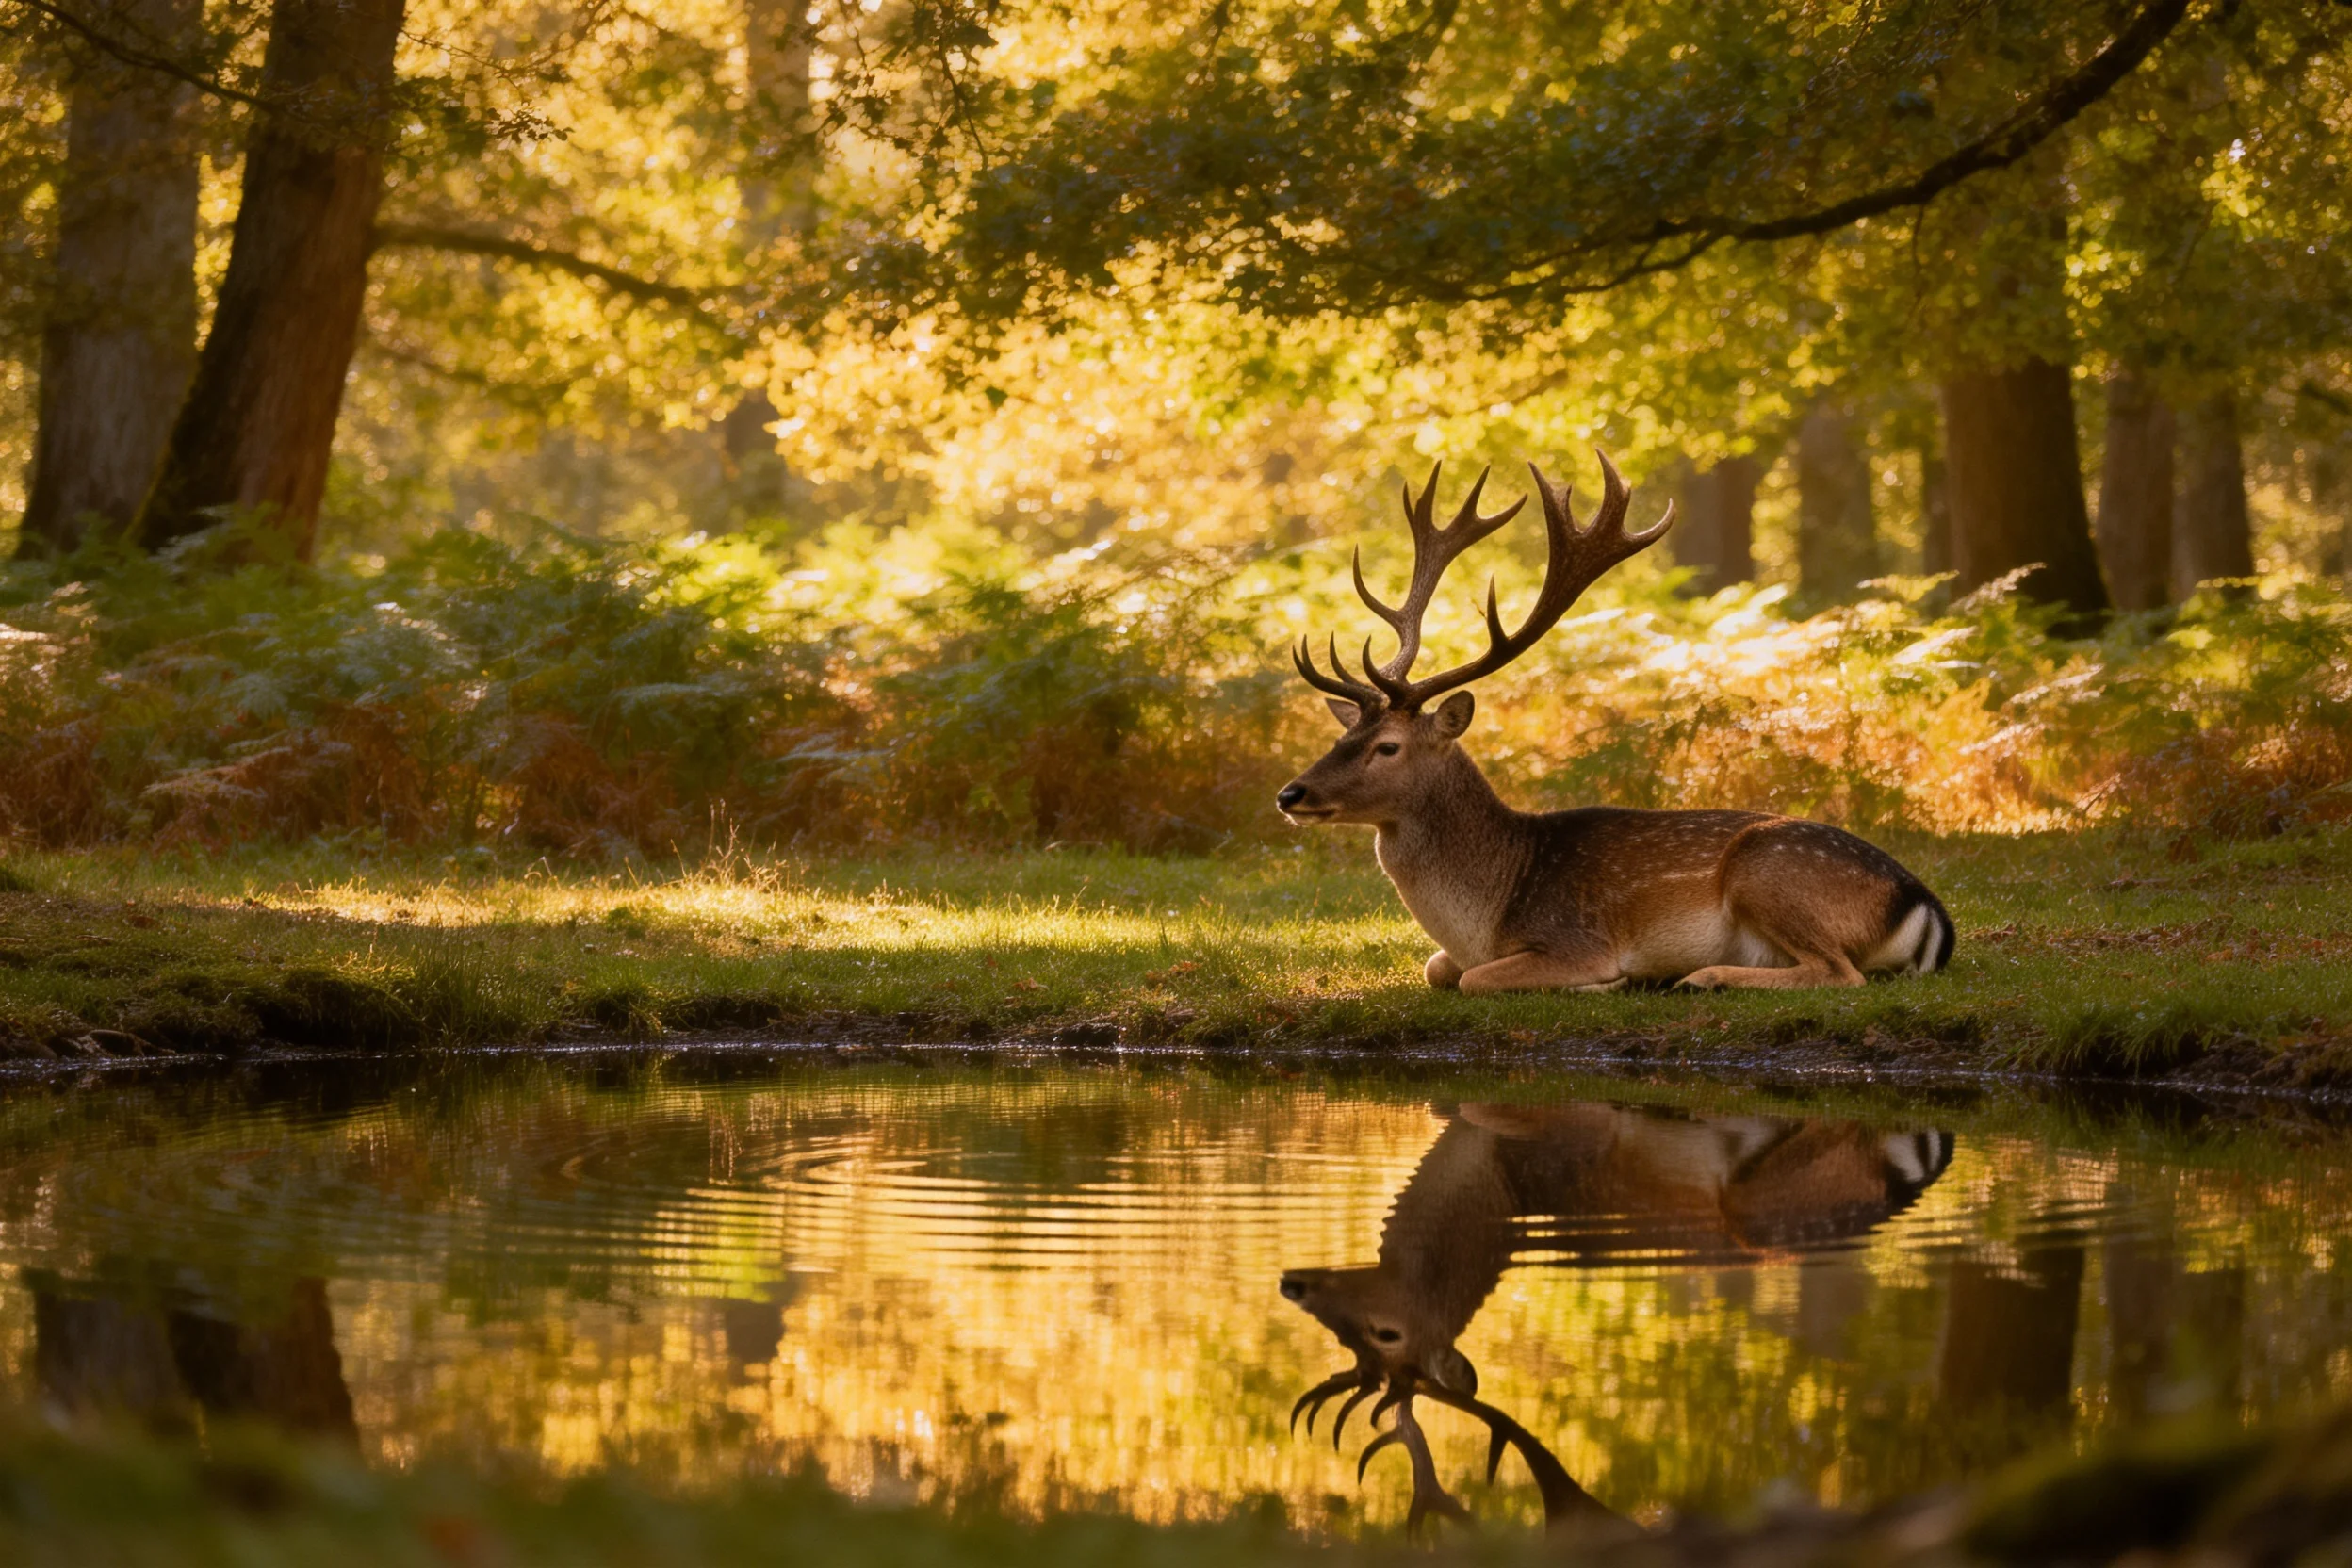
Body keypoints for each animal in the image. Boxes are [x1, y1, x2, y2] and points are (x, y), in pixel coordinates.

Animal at [1276, 455, 1955, 992]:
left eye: (1387, 746)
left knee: (1842, 972)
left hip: (1771, 871)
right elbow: (1437, 967)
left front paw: (1606, 984)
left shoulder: (1576, 939)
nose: (1291, 793)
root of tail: (1926, 908)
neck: (1487, 914)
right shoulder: (1455, 953)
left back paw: (1700, 976)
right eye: (1342, 736)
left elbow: (1472, 979)